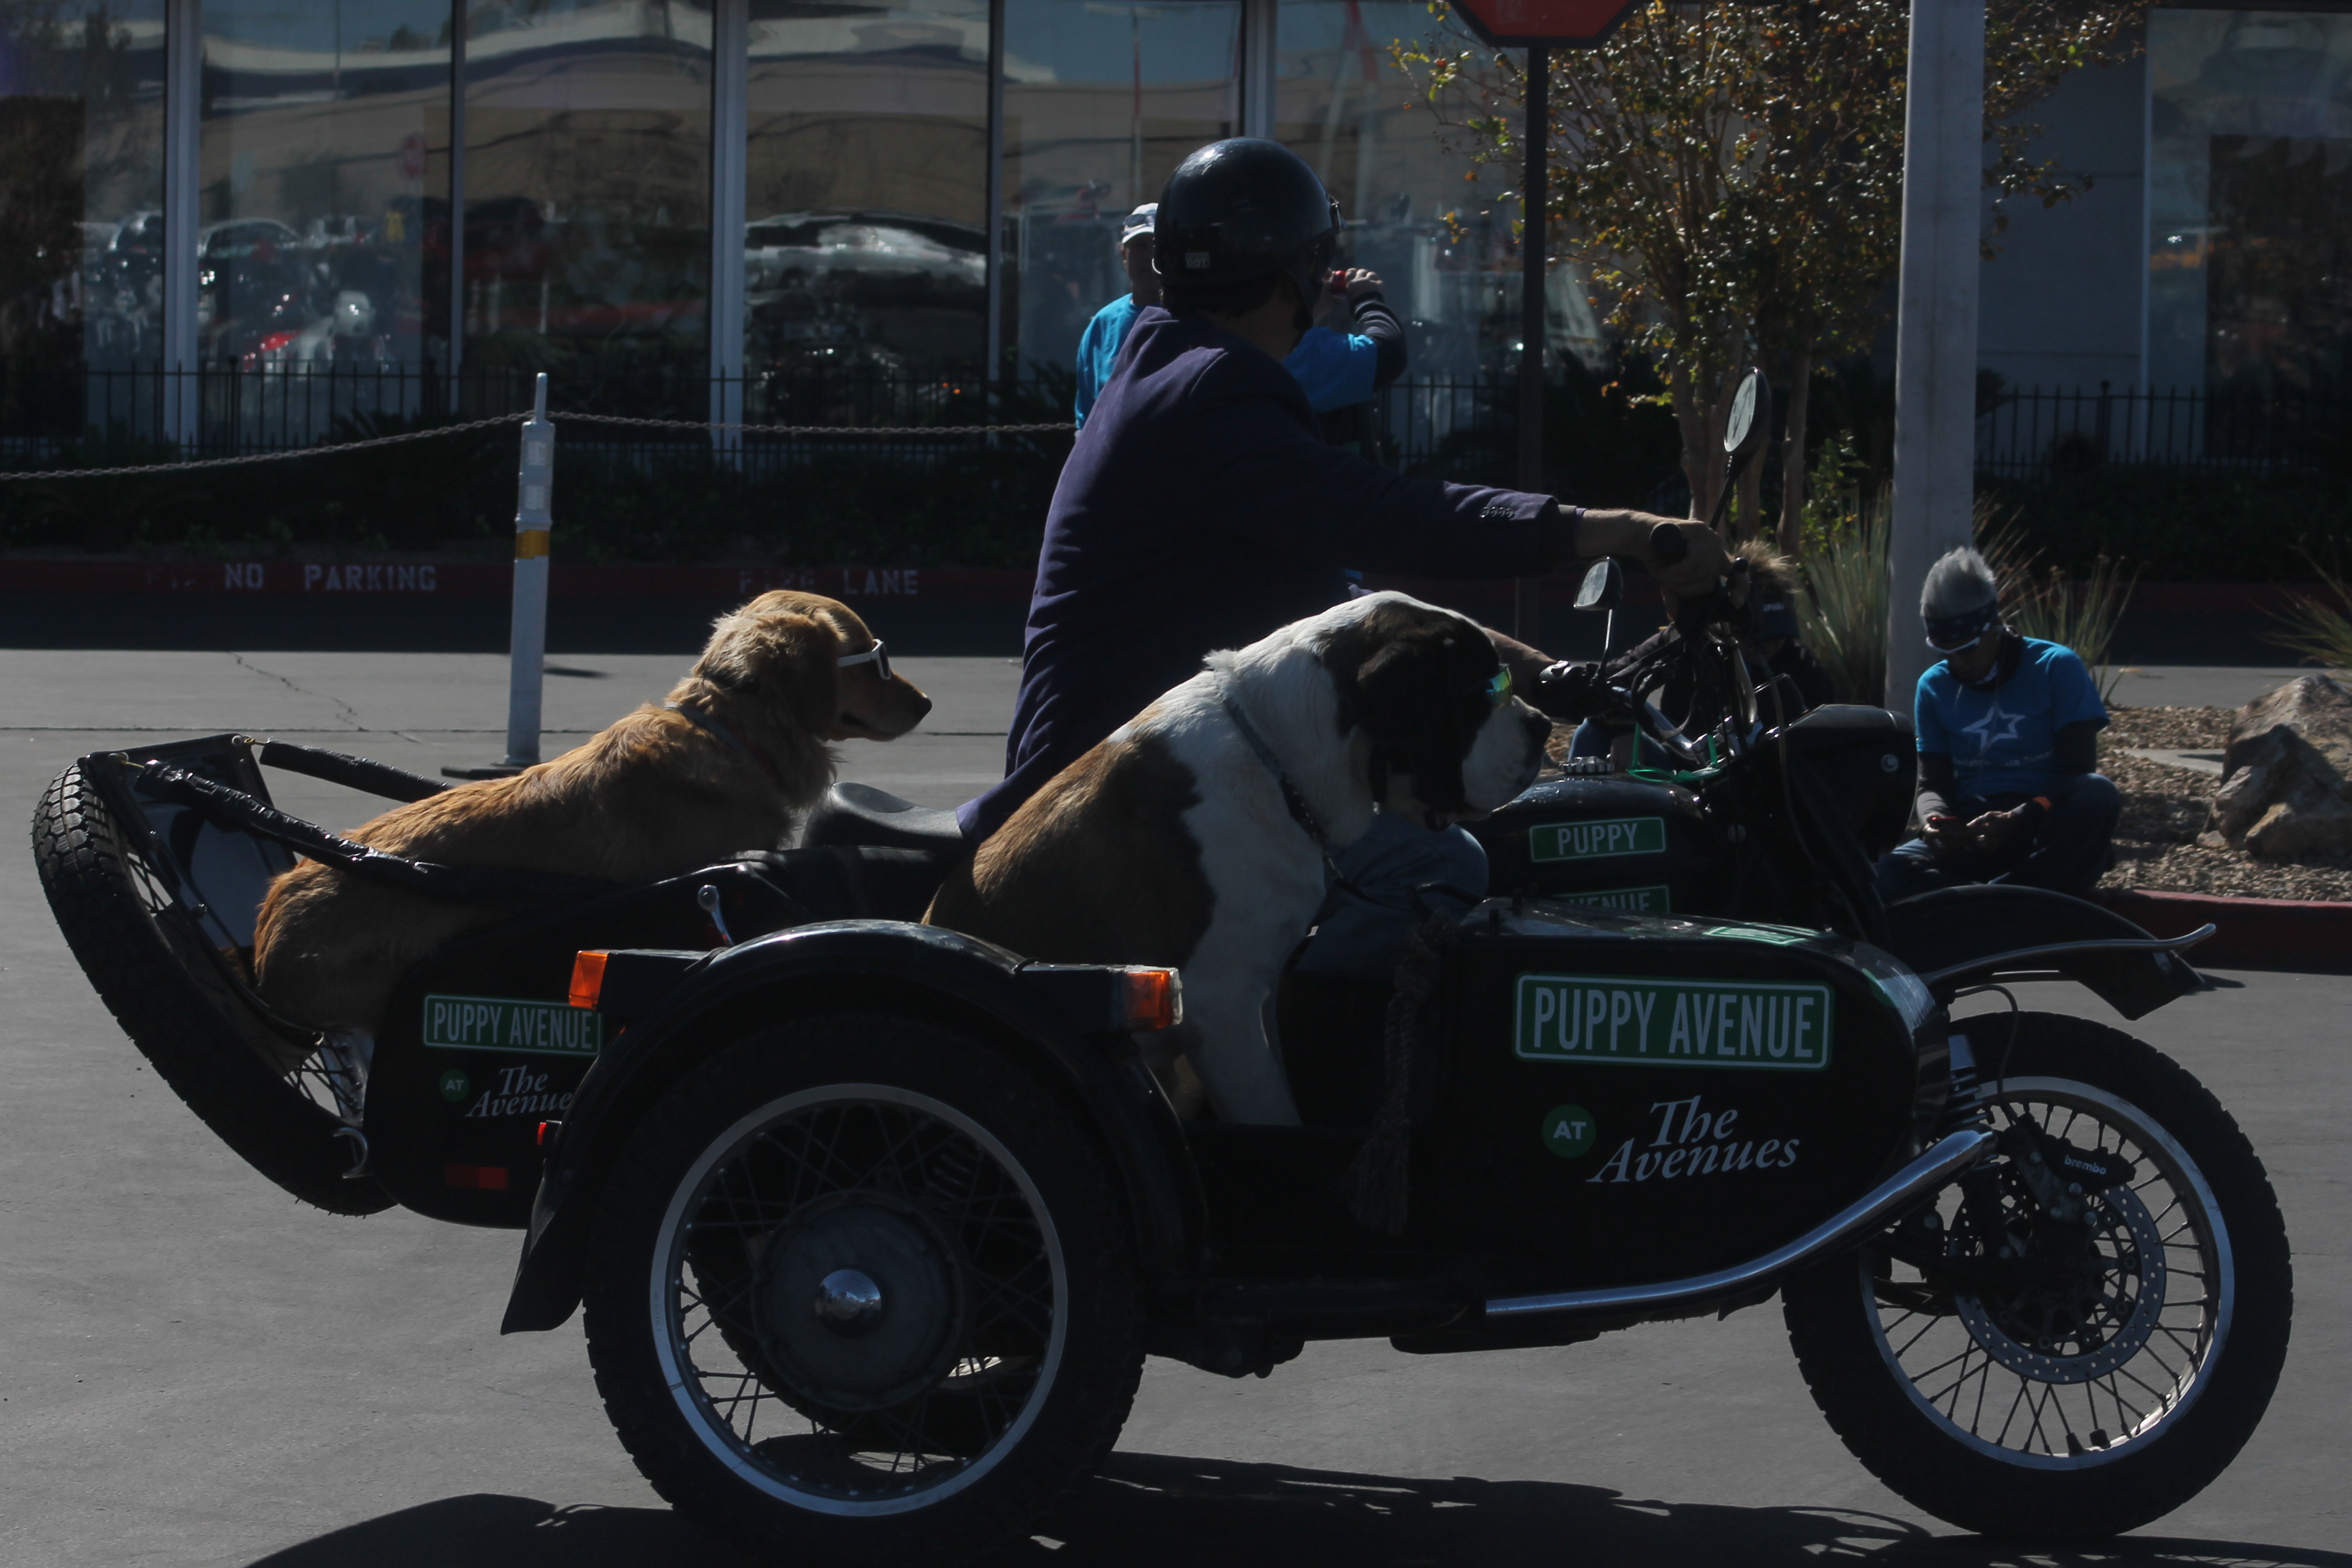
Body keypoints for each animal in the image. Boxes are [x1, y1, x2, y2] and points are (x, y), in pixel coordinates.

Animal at [922, 592, 1561, 1128]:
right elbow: (1270, 1116)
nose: (1541, 723)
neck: (1278, 758)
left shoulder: (1259, 995)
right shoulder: (1222, 1009)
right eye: (1484, 693)